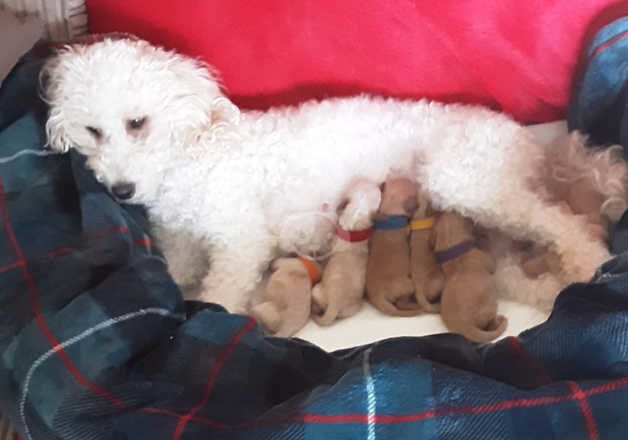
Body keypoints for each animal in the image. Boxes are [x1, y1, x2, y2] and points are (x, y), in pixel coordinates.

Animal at [312, 180, 380, 324]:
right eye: (360, 189)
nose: (372, 183)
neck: (353, 227)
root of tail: (334, 304)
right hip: (352, 308)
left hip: (316, 290)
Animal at [434, 211, 508, 342]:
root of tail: (465, 327)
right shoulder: (487, 260)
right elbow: (492, 262)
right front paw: (483, 236)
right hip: (491, 306)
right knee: (490, 323)